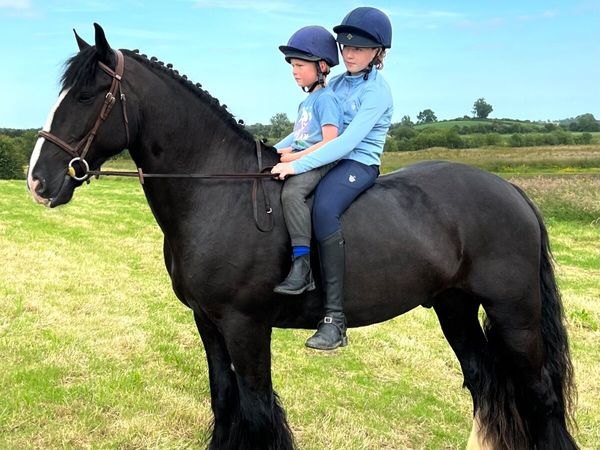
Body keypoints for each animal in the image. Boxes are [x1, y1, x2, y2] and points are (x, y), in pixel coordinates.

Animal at [27, 24, 576, 450]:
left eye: (86, 95)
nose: (38, 181)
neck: (220, 192)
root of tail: (510, 189)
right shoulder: (208, 323)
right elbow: (224, 401)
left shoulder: (246, 327)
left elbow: (254, 410)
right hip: (455, 307)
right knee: (486, 384)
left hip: (514, 313)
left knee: (540, 397)